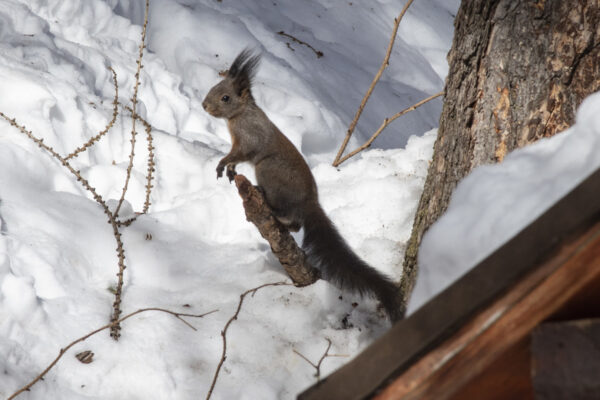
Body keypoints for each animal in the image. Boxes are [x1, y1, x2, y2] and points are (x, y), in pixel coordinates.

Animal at [203, 50, 404, 324]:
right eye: (214, 87)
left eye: (225, 97)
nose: (204, 105)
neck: (240, 115)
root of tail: (310, 204)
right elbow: (236, 158)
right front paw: (230, 169)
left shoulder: (249, 139)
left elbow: (241, 152)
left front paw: (223, 164)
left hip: (268, 170)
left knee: (291, 217)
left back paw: (275, 210)